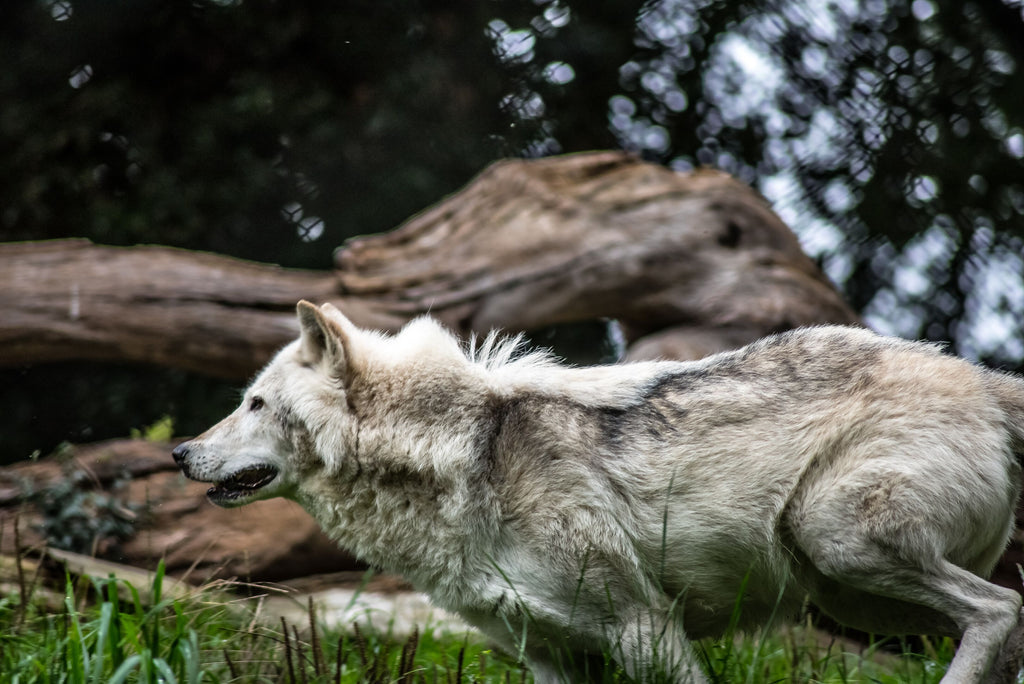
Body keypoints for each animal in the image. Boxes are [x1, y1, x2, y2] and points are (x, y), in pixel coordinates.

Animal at [174, 301, 1024, 684]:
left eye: (254, 403)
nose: (180, 452)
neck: (454, 454)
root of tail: (980, 376)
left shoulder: (647, 629)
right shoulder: (549, 657)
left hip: (838, 546)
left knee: (999, 608)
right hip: (854, 596)